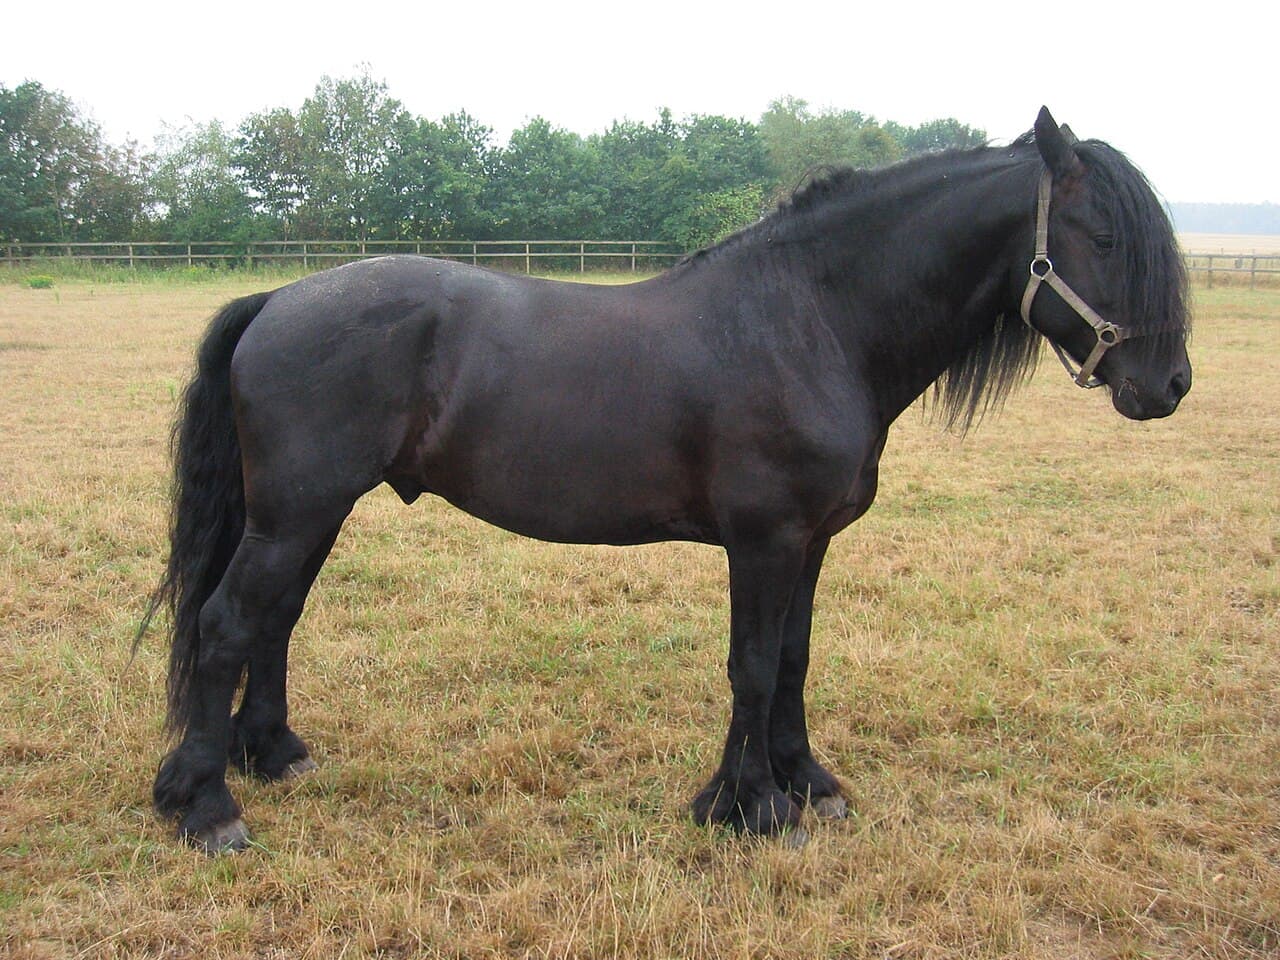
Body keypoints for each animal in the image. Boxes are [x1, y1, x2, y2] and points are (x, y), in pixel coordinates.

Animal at [137, 108, 1191, 852]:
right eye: (1102, 234)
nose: (1168, 384)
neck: (812, 321)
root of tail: (279, 298)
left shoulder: (810, 544)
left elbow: (795, 660)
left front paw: (808, 785)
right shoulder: (763, 542)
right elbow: (752, 664)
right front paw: (751, 807)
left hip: (306, 516)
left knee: (274, 623)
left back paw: (275, 757)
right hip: (294, 514)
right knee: (227, 627)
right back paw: (208, 809)